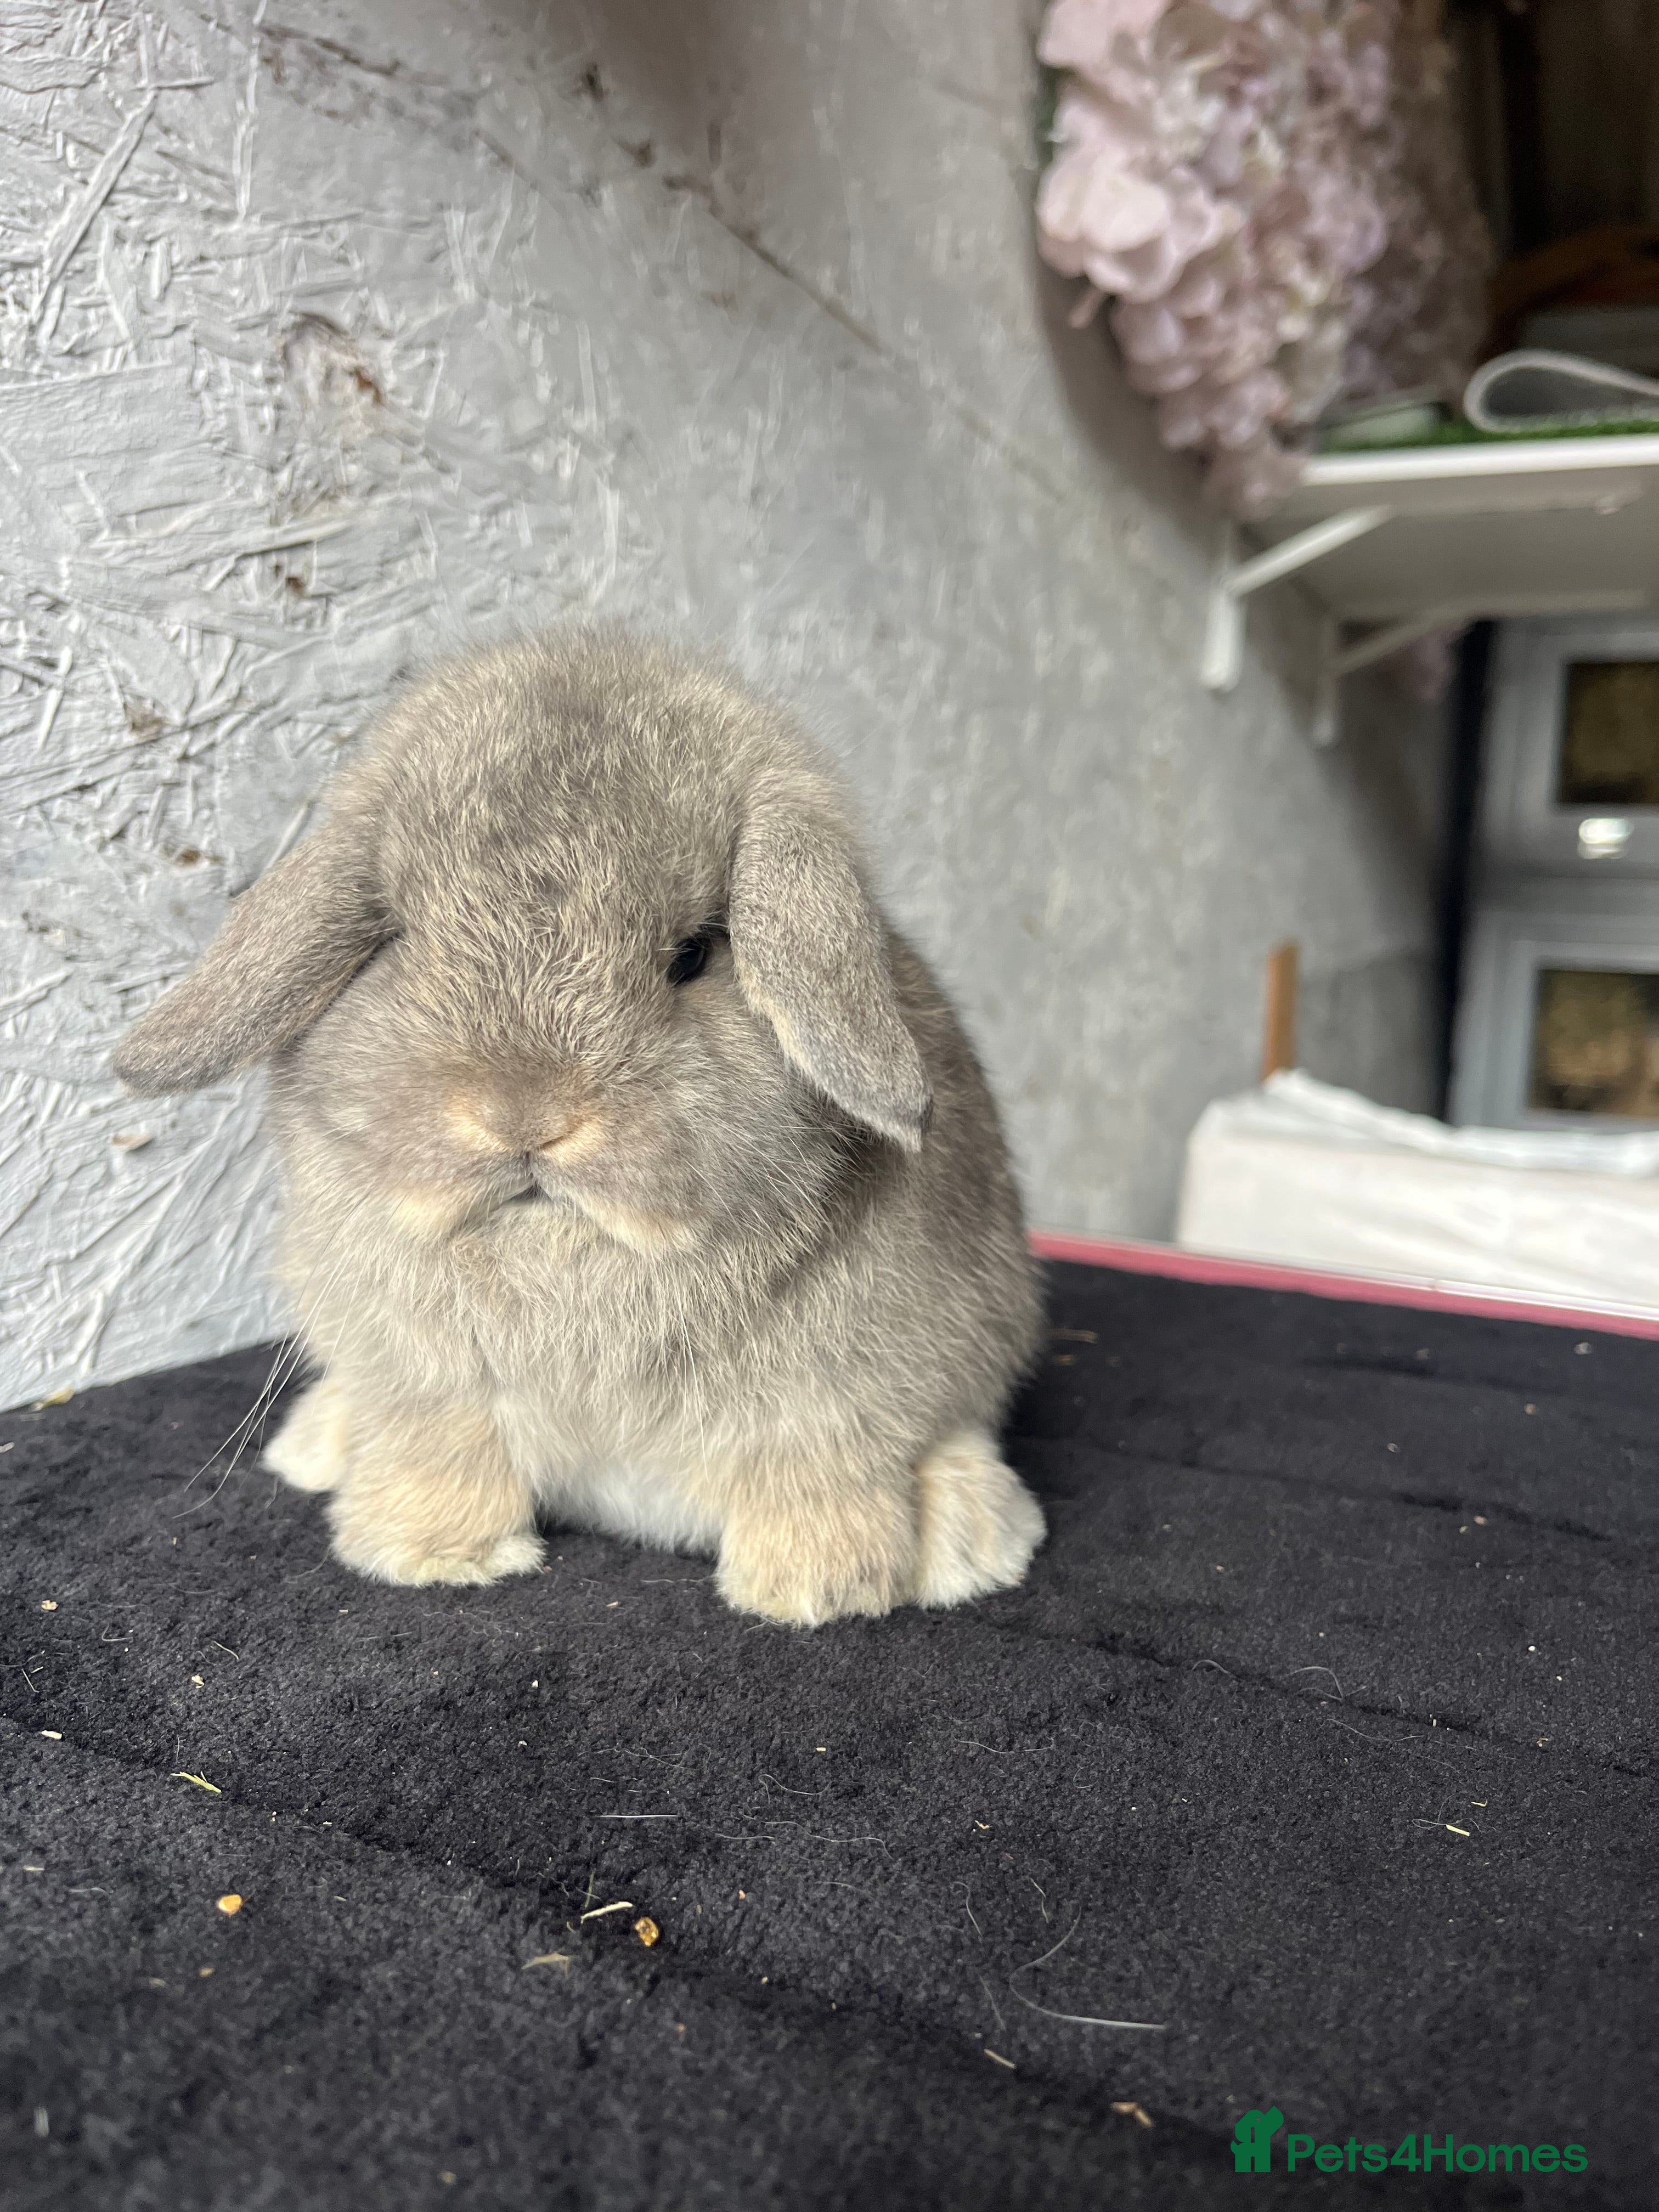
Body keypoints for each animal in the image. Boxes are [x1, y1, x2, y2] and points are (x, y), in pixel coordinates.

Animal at [113, 632, 1046, 1625]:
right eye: (398, 939)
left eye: (694, 955)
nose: (523, 1116)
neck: (564, 1257)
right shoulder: (429, 1390)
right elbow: (444, 1461)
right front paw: (431, 1556)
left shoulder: (840, 1399)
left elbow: (819, 1473)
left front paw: (815, 1587)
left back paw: (970, 1535)